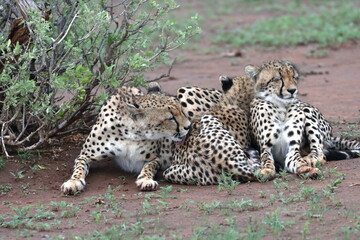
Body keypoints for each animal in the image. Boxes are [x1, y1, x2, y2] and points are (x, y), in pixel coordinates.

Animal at [61, 85, 191, 194]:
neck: (130, 133)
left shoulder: (154, 159)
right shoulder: (84, 156)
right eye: (171, 118)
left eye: (182, 110)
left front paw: (146, 180)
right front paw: (73, 182)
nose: (188, 126)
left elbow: (149, 167)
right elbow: (79, 169)